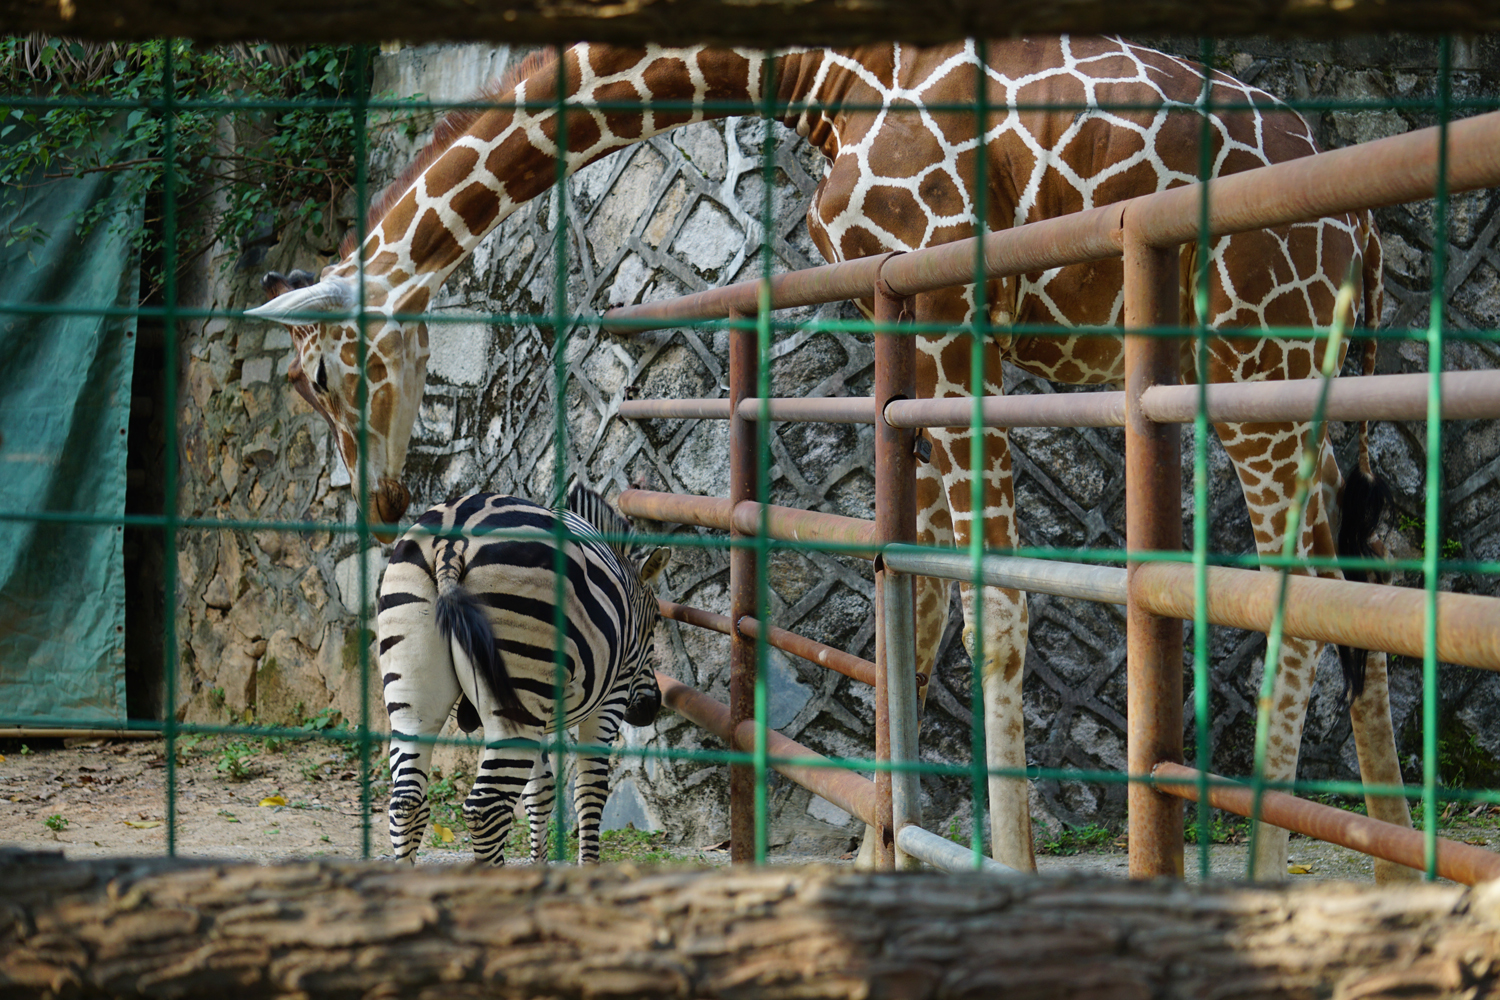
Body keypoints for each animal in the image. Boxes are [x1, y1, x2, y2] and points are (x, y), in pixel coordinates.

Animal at [375, 487, 670, 864]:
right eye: (657, 621)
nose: (651, 708)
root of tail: (452, 540)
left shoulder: (538, 715)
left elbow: (539, 792)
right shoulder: (613, 696)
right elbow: (590, 789)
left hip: (417, 692)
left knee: (407, 802)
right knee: (485, 808)